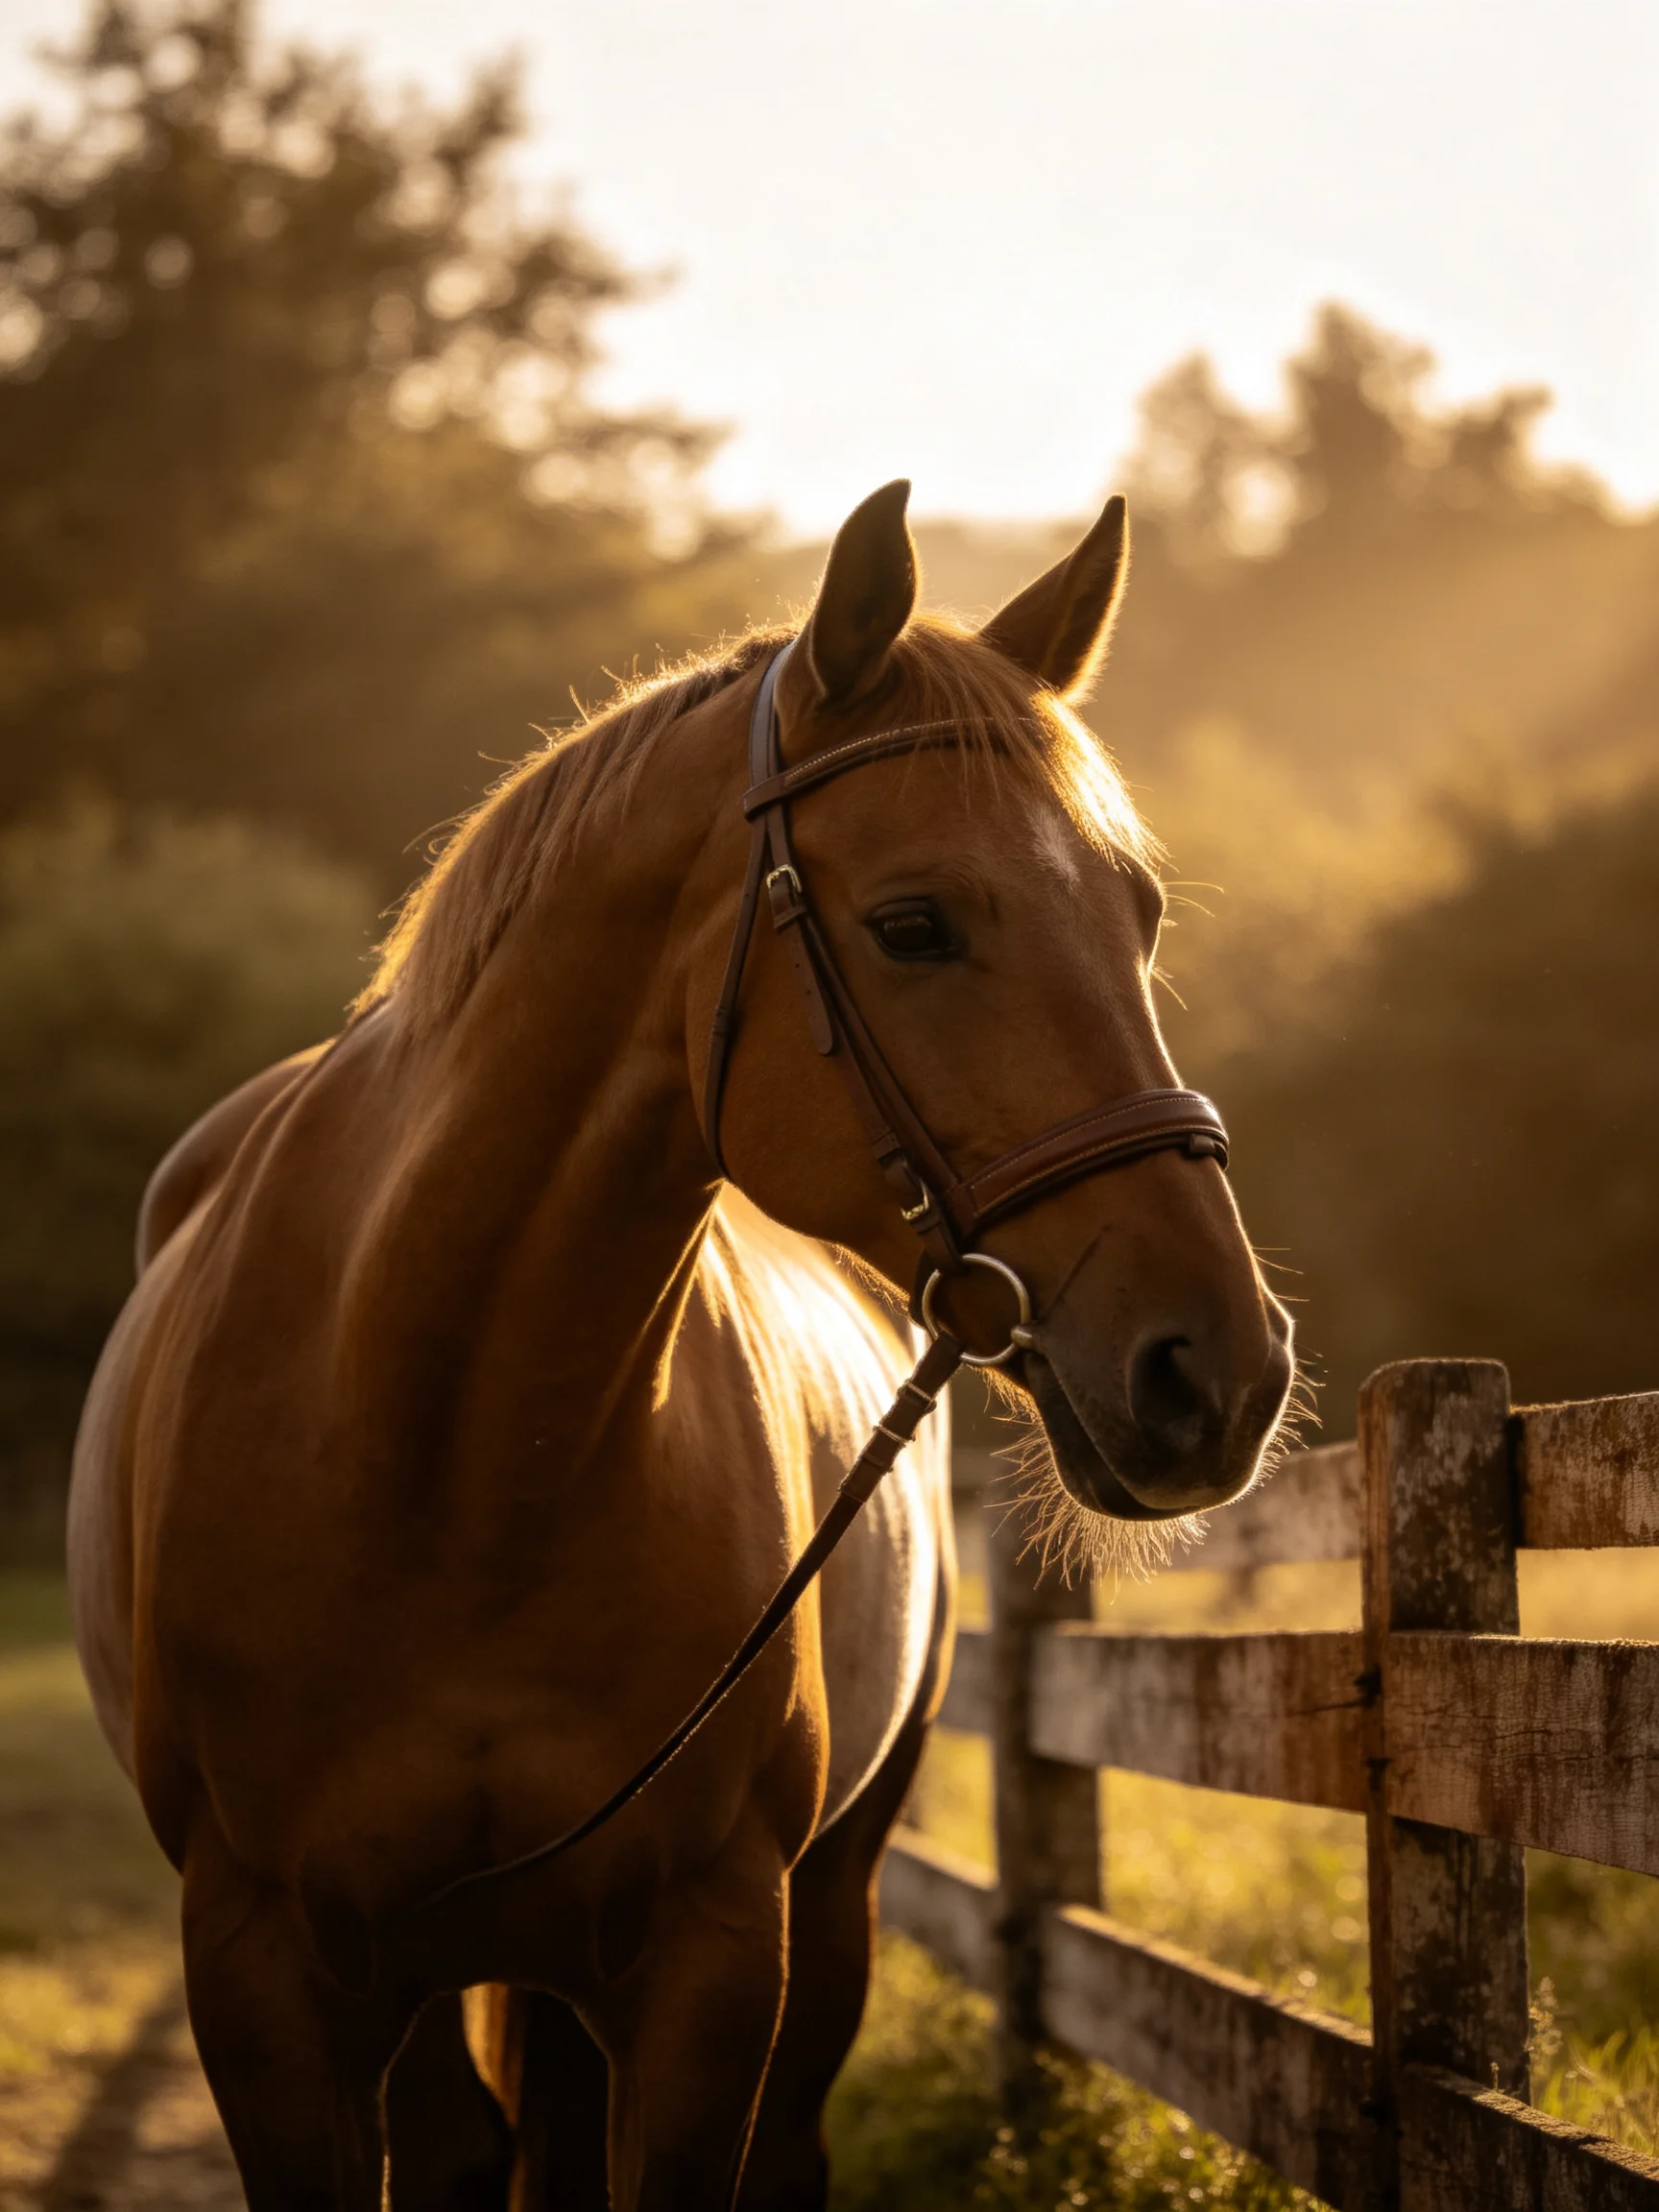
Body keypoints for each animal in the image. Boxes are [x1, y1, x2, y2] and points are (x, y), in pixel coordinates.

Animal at [67, 480, 1293, 2209]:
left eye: (1141, 915)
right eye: (914, 923)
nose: (1222, 1371)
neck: (448, 1449)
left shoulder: (713, 1962)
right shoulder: (265, 1975)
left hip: (821, 1907)